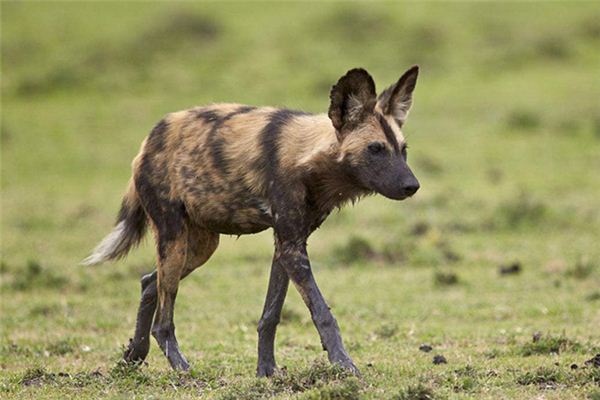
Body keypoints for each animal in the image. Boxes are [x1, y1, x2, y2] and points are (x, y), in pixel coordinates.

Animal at [83, 66, 422, 378]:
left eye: (403, 150)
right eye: (375, 149)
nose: (412, 186)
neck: (310, 160)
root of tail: (149, 141)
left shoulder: (287, 245)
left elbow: (270, 315)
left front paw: (266, 371)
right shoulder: (292, 248)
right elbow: (323, 314)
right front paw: (344, 366)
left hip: (199, 248)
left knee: (148, 282)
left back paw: (133, 357)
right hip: (174, 240)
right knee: (163, 321)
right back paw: (183, 370)